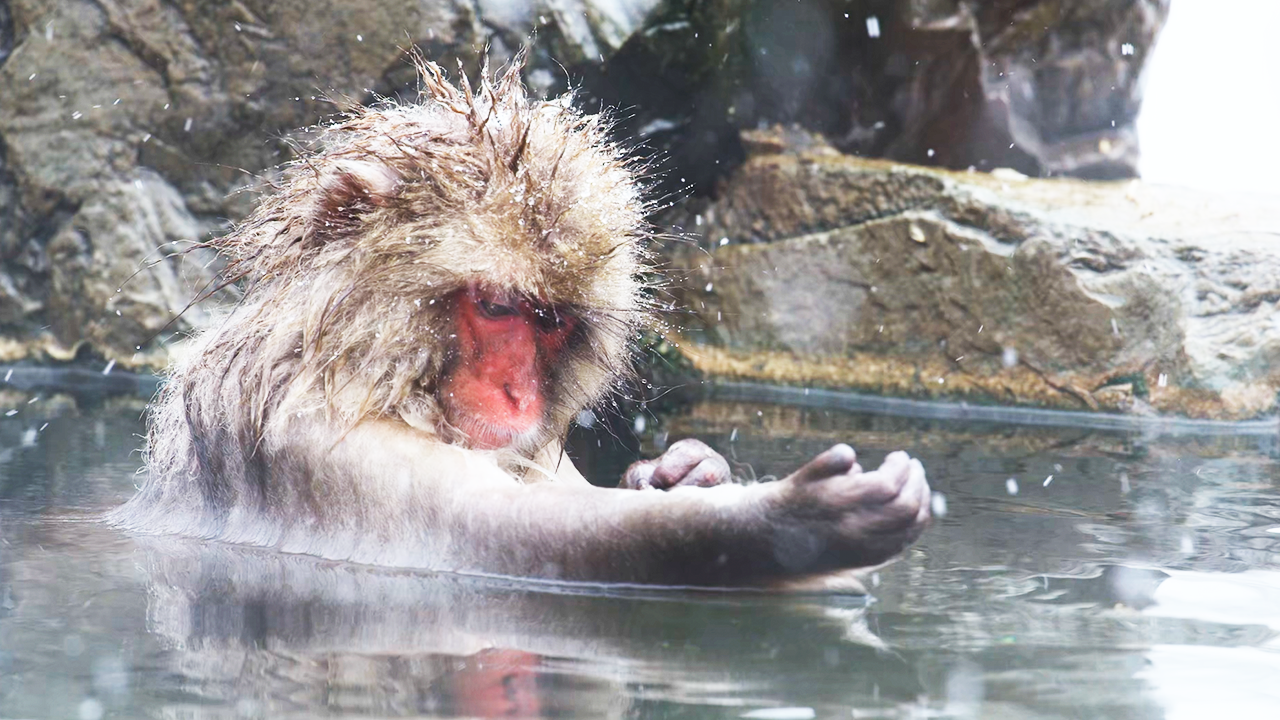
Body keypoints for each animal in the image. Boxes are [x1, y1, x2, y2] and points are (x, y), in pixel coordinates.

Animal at [108, 54, 930, 588]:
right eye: (498, 307)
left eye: (551, 320)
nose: (518, 393)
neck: (335, 362)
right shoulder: (325, 448)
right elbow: (515, 544)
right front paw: (784, 524)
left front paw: (687, 474)